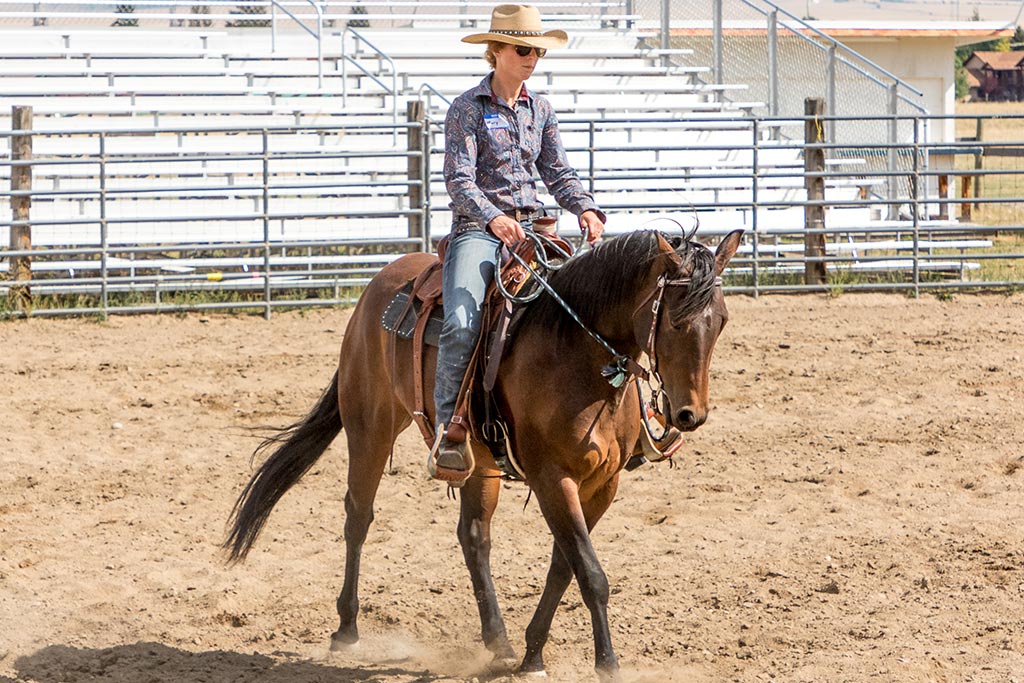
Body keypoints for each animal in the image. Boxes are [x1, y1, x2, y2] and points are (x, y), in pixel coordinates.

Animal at [226, 228, 745, 679]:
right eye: (675, 320)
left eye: (720, 321)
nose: (690, 415)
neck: (576, 351)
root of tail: (381, 282)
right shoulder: (552, 477)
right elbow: (590, 571)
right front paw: (607, 664)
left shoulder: (603, 483)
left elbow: (565, 566)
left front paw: (533, 654)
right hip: (369, 427)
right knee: (359, 516)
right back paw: (347, 629)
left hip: (478, 459)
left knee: (473, 536)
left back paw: (498, 640)